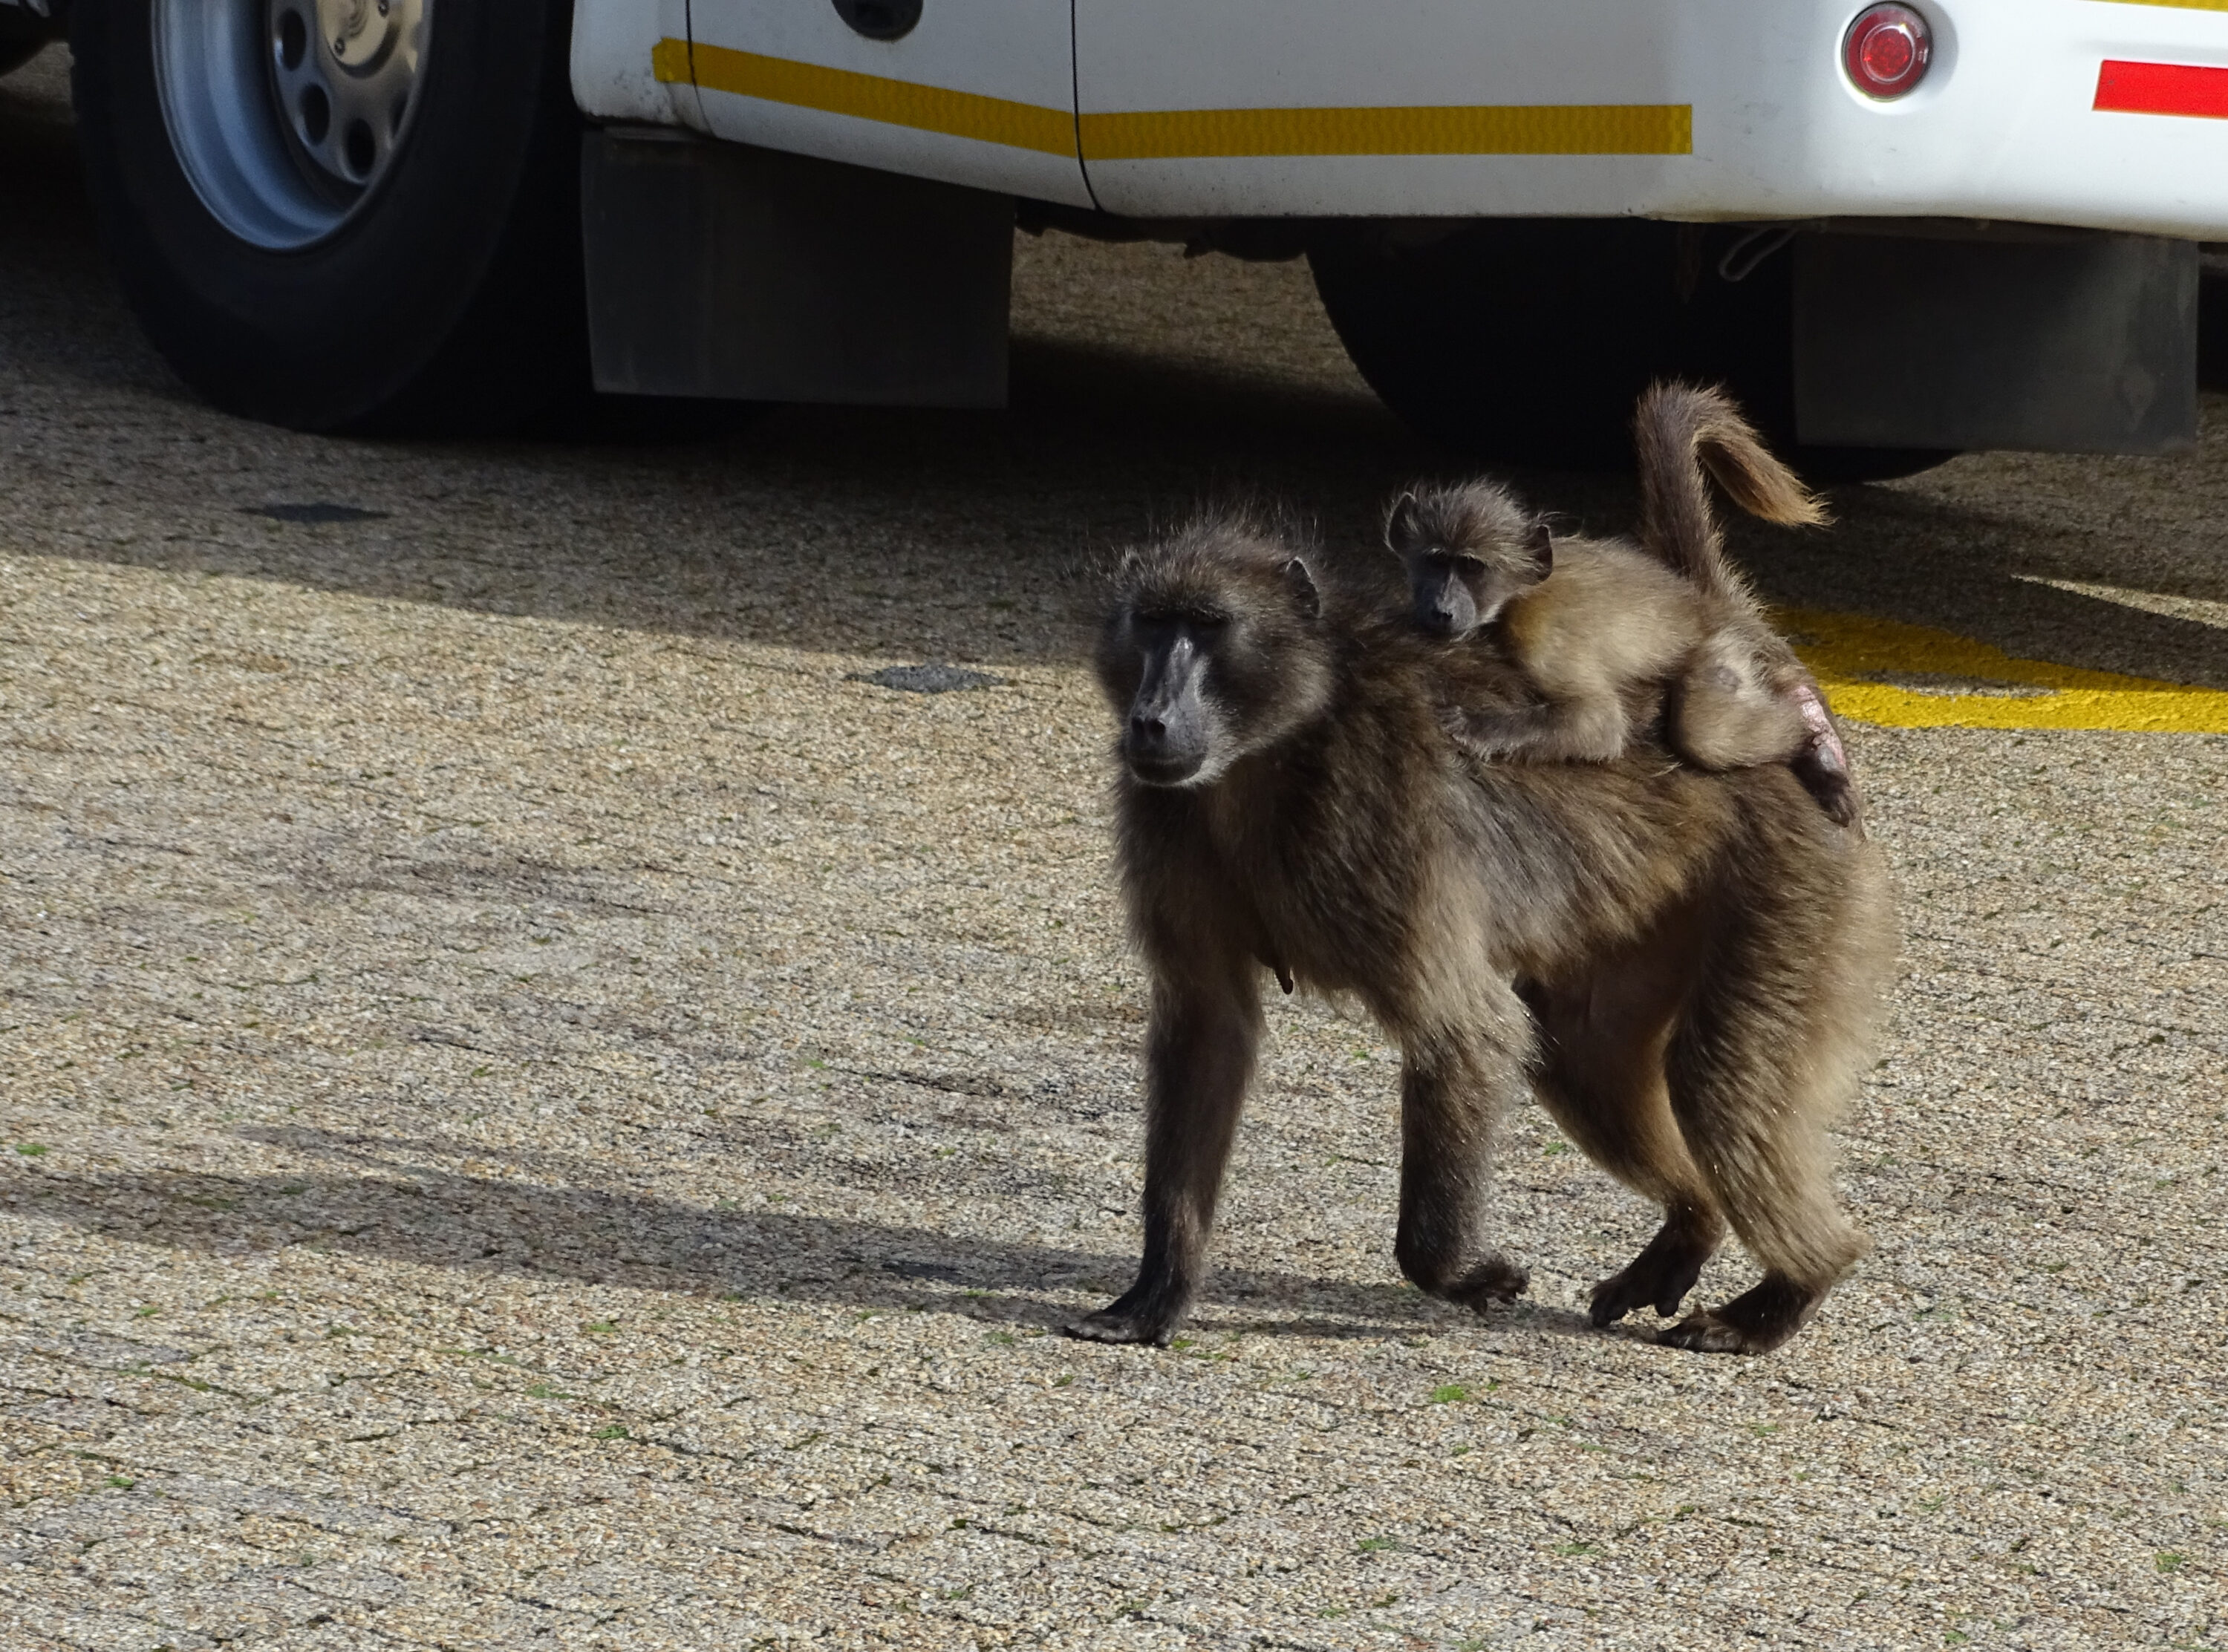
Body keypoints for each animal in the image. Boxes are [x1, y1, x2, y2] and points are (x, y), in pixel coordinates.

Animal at [1071, 509, 1894, 1357]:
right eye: (1152, 623)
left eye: (1208, 627)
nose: (1151, 720)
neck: (1272, 751)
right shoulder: (1166, 818)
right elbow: (1210, 1030)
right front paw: (1154, 1296)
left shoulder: (1379, 824)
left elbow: (1465, 1031)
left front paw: (1465, 1274)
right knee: (1582, 1056)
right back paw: (1690, 1227)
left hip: (1791, 886)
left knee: (1714, 1082)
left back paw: (1788, 1291)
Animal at [1389, 383, 1860, 828]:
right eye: (1436, 560)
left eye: (1472, 568)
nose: (1442, 610)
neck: (1516, 596)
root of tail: (1703, 600)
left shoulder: (1541, 637)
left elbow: (1599, 725)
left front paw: (1474, 728)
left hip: (1724, 651)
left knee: (1703, 732)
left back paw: (1811, 745)